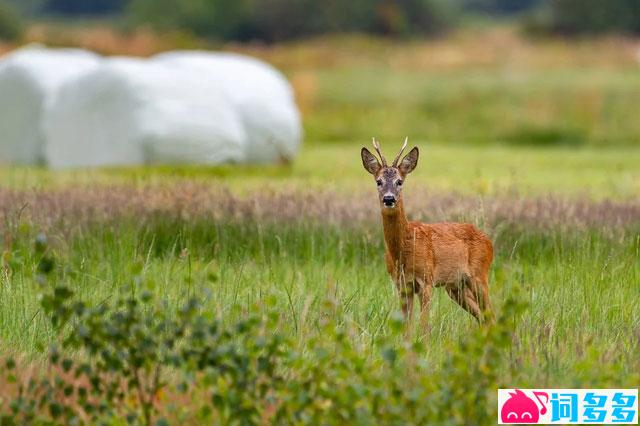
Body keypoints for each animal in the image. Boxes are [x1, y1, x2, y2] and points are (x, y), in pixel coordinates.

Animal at [360, 138, 496, 328]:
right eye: (378, 181)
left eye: (399, 181)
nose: (389, 199)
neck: (404, 249)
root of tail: (488, 240)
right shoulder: (402, 285)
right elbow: (407, 326)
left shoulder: (426, 280)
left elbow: (424, 325)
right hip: (456, 287)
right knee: (483, 317)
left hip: (479, 275)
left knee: (492, 314)